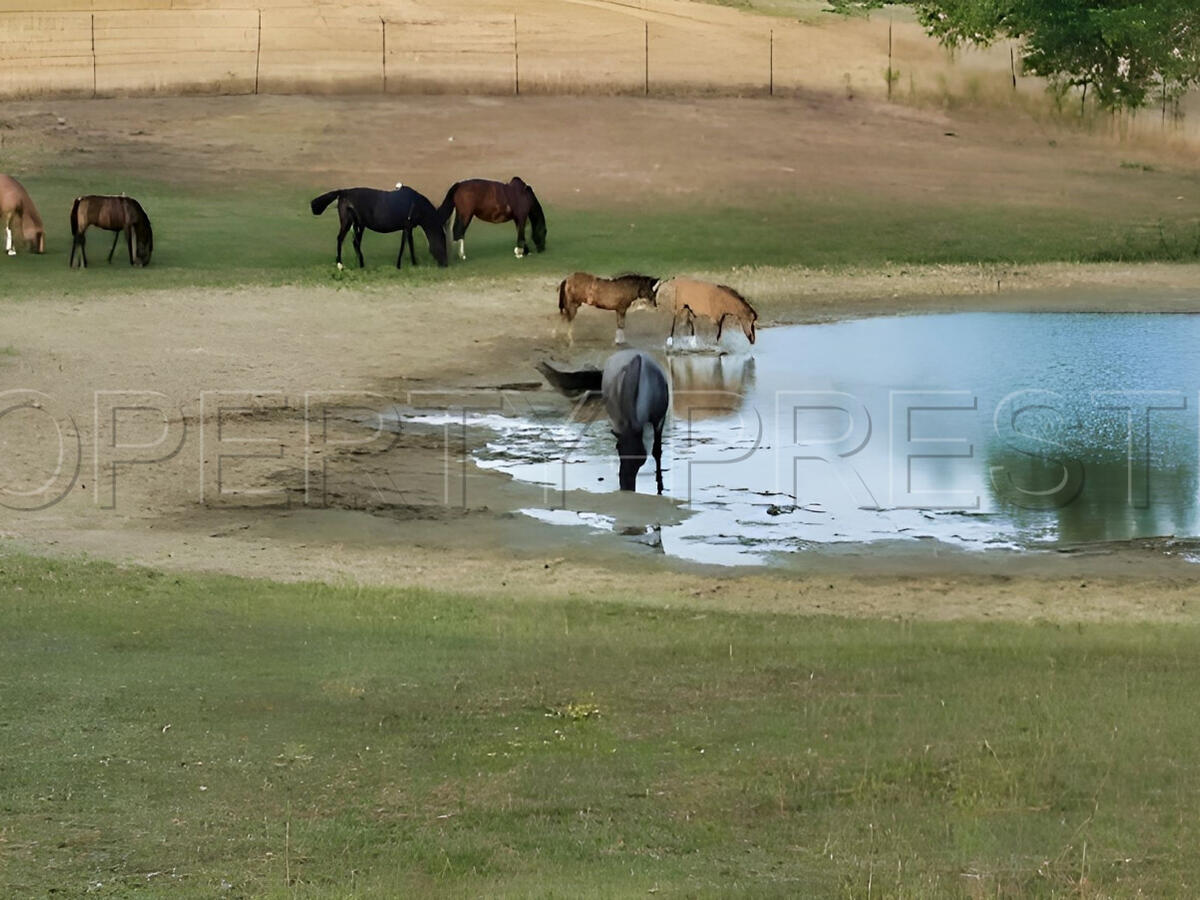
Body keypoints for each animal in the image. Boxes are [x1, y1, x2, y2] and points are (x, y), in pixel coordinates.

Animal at [309, 183, 451, 267]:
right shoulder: (407, 226)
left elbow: (407, 244)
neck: (417, 205)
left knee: (354, 242)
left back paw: (361, 264)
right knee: (342, 239)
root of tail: (343, 192)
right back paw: (340, 264)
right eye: (443, 243)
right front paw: (404, 264)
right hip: (350, 222)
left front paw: (409, 264)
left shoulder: (408, 227)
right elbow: (406, 245)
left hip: (357, 223)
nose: (445, 264)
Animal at [604, 348, 672, 496]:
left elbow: (657, 451)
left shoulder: (659, 420)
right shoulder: (619, 422)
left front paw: (660, 486)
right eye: (618, 448)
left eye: (640, 456)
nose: (626, 486)